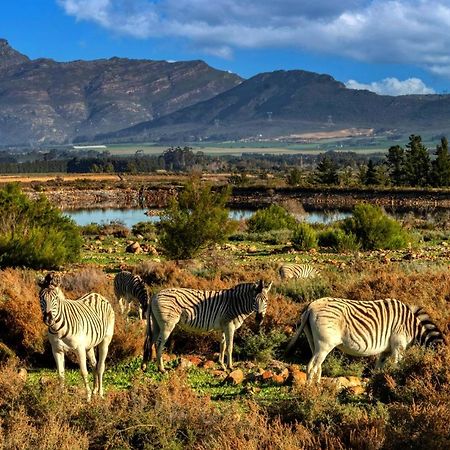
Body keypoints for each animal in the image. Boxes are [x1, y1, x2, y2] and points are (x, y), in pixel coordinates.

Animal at [38, 270, 115, 400]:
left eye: (56, 298)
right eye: (41, 298)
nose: (48, 319)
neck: (57, 329)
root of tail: (97, 295)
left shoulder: (79, 348)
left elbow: (83, 372)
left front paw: (88, 397)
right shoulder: (56, 350)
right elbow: (61, 373)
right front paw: (61, 395)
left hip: (105, 340)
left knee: (100, 367)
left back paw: (100, 393)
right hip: (89, 345)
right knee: (94, 364)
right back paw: (95, 390)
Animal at [142, 282, 272, 372]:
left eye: (266, 300)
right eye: (254, 300)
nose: (259, 319)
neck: (236, 303)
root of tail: (155, 295)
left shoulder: (223, 327)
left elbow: (222, 346)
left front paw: (222, 365)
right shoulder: (229, 326)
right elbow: (229, 347)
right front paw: (230, 367)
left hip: (156, 324)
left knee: (150, 342)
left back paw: (144, 366)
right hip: (167, 324)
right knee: (158, 344)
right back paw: (161, 369)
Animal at [284, 298, 442, 382]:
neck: (411, 327)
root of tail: (310, 306)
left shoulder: (387, 350)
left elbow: (378, 369)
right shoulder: (398, 345)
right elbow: (397, 365)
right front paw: (395, 379)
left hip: (313, 340)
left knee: (317, 366)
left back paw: (317, 386)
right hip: (325, 344)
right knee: (312, 366)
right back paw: (310, 391)